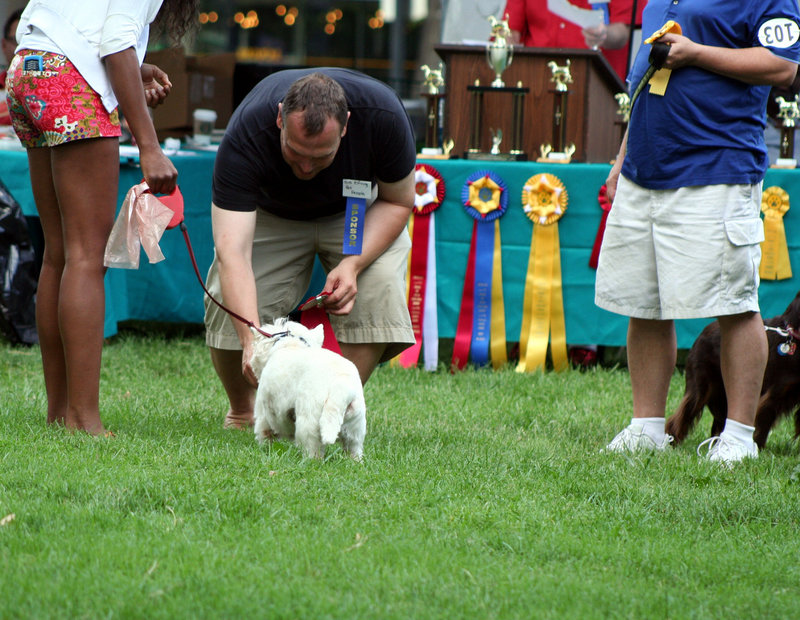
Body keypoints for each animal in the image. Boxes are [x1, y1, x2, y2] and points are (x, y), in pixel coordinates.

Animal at [248, 320, 368, 460]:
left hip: (309, 419)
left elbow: (266, 434)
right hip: (355, 428)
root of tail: (341, 384)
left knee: (312, 450)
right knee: (354, 449)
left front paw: (265, 451)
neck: (290, 344)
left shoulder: (265, 413)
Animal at [664, 294, 800, 448]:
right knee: (681, 417)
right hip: (701, 388)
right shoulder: (774, 394)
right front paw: (758, 448)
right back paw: (672, 443)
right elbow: (762, 425)